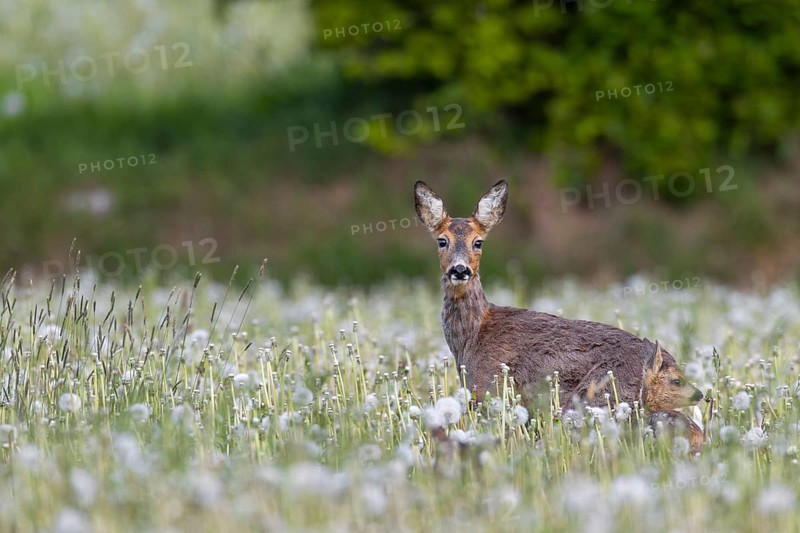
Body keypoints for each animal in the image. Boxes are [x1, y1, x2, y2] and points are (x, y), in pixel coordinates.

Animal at [413, 179, 704, 410]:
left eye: (478, 242)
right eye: (442, 241)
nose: (460, 269)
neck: (472, 336)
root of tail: (664, 366)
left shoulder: (487, 385)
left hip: (602, 393)